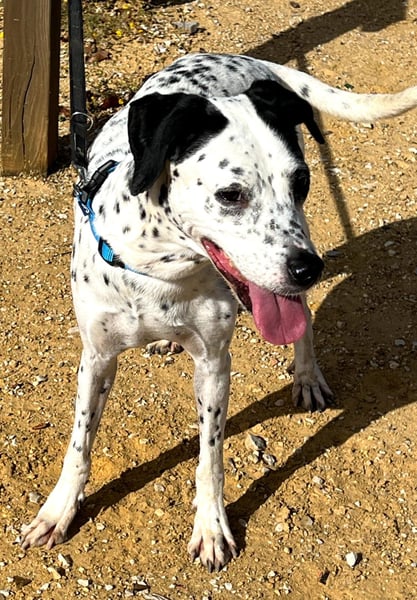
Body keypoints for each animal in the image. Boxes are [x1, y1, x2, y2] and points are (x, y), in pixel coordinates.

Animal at [21, 53, 417, 571]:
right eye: (231, 194)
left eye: (302, 182)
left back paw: (307, 376)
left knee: (305, 322)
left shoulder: (214, 365)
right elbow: (79, 445)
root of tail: (244, 60)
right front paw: (59, 510)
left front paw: (211, 527)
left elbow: (210, 459)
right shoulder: (97, 358)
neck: (162, 270)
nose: (308, 269)